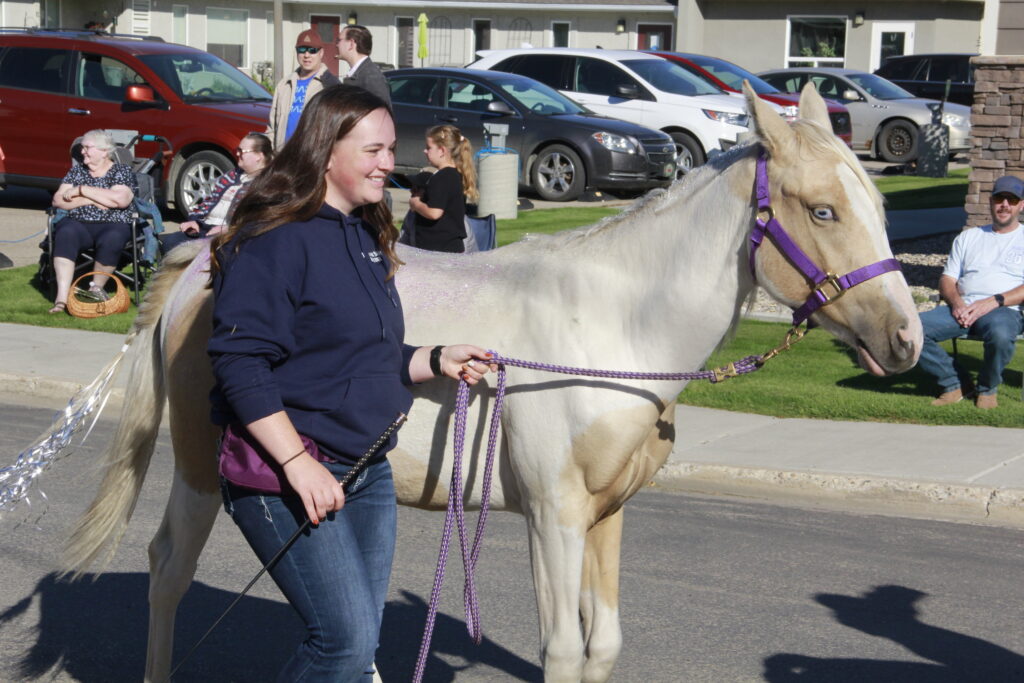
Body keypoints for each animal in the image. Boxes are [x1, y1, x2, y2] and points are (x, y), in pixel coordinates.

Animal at [55, 84, 921, 682]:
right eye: (823, 210)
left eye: (877, 203)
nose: (905, 338)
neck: (610, 332)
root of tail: (206, 257)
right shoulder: (552, 517)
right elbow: (563, 649)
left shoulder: (605, 516)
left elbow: (602, 645)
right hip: (205, 471)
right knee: (169, 569)